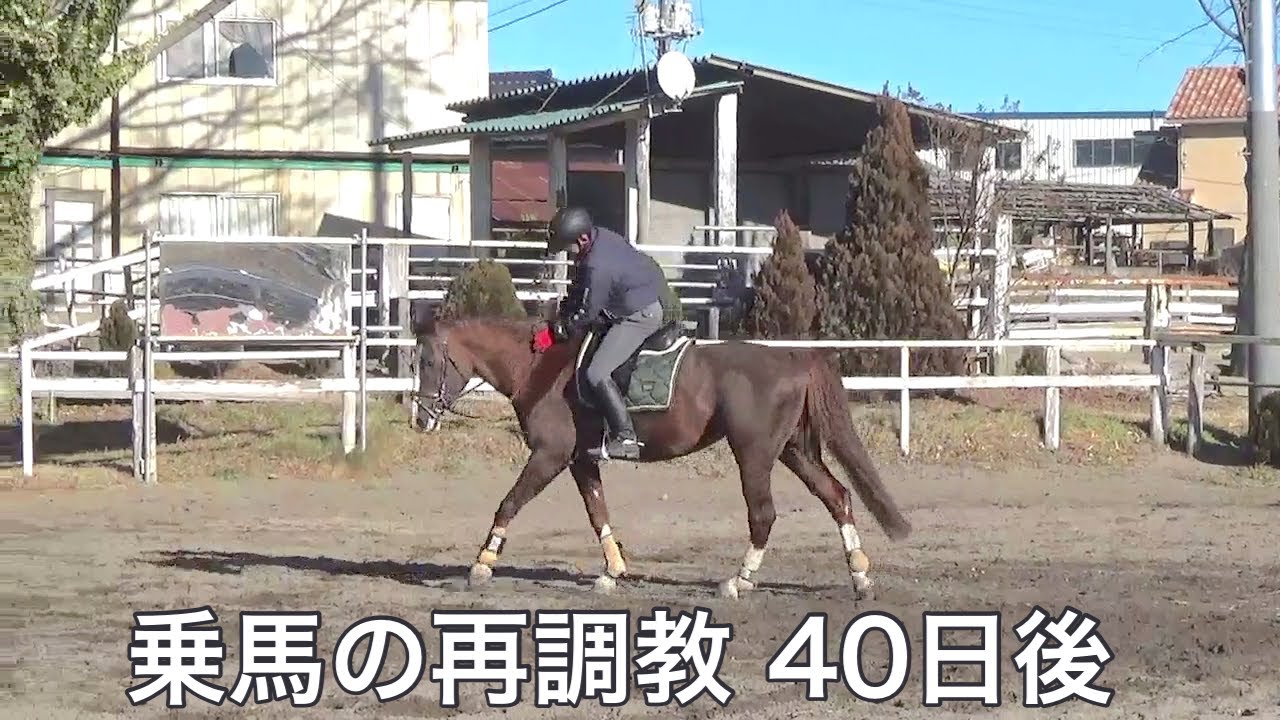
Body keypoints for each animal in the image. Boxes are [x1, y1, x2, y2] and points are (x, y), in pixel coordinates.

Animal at [409, 303, 911, 599]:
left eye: (429, 360)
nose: (420, 419)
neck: (538, 367)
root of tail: (796, 357)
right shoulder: (581, 460)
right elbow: (597, 512)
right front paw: (612, 570)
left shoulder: (549, 456)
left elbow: (509, 503)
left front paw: (482, 563)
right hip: (794, 451)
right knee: (837, 497)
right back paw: (860, 576)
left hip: (753, 454)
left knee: (764, 514)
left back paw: (739, 581)